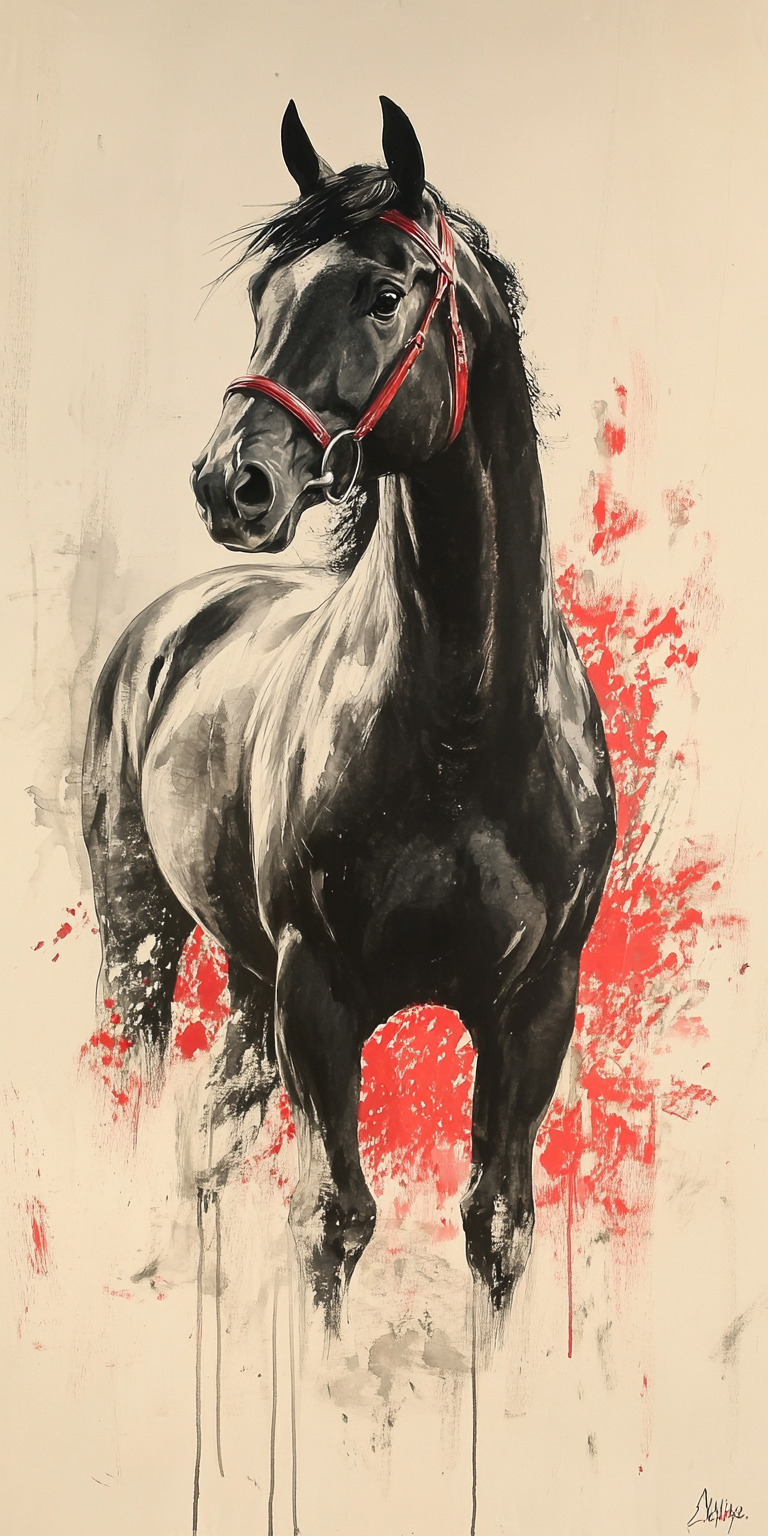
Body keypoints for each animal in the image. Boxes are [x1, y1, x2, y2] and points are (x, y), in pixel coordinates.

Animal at [82, 97, 616, 1324]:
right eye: (263, 294)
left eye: (383, 292)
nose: (233, 483)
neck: (464, 727)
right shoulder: (320, 993)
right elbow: (333, 1218)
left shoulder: (533, 1007)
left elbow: (496, 1223)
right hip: (144, 935)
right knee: (149, 1098)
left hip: (245, 978)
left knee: (206, 1134)